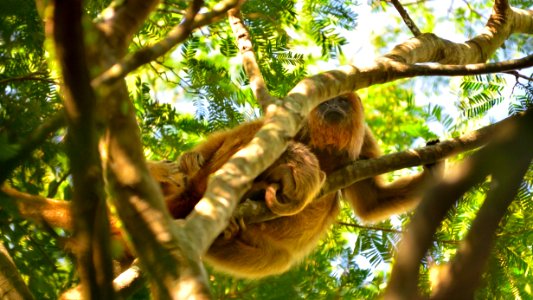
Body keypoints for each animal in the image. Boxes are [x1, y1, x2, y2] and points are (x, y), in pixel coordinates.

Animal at [149, 92, 440, 278]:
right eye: (326, 100)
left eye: (341, 101)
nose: (331, 105)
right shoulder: (297, 122)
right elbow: (253, 133)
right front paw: (188, 160)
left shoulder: (365, 141)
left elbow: (372, 201)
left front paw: (434, 168)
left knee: (276, 258)